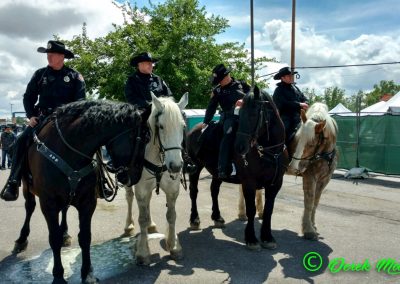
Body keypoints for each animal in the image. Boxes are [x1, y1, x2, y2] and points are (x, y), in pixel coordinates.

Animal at [14, 100, 149, 282]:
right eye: (146, 138)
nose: (135, 176)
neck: (69, 150)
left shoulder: (87, 202)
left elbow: (85, 237)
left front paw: (87, 273)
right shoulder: (48, 203)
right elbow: (53, 238)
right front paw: (58, 276)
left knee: (64, 210)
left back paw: (64, 233)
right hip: (27, 188)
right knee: (29, 208)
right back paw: (21, 239)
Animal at [124, 93, 188, 264]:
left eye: (183, 126)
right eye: (161, 127)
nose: (176, 166)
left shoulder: (172, 189)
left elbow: (171, 216)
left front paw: (174, 246)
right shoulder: (141, 189)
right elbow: (142, 218)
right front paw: (143, 252)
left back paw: (151, 225)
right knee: (129, 198)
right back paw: (128, 226)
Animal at [188, 87, 288, 250]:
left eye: (253, 114)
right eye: (240, 115)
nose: (240, 147)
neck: (270, 152)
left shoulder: (275, 184)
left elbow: (268, 210)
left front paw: (267, 237)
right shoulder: (249, 183)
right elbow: (251, 209)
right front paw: (251, 239)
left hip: (217, 173)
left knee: (214, 190)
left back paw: (217, 217)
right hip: (195, 168)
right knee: (193, 192)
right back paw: (194, 219)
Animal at [238, 101, 338, 240]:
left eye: (311, 144)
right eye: (297, 138)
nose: (293, 167)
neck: (323, 155)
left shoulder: (324, 180)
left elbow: (315, 203)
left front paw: (313, 225)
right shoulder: (310, 177)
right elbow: (309, 202)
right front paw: (308, 230)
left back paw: (261, 211)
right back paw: (242, 213)